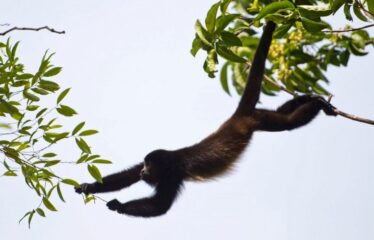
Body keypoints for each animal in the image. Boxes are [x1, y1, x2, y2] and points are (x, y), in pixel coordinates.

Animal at [74, 21, 336, 218]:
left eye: (150, 166)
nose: (144, 172)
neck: (168, 160)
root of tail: (237, 116)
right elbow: (126, 176)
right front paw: (88, 186)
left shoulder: (173, 174)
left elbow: (159, 206)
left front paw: (118, 205)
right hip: (259, 117)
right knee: (283, 113)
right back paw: (309, 98)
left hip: (256, 122)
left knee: (288, 124)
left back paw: (317, 105)